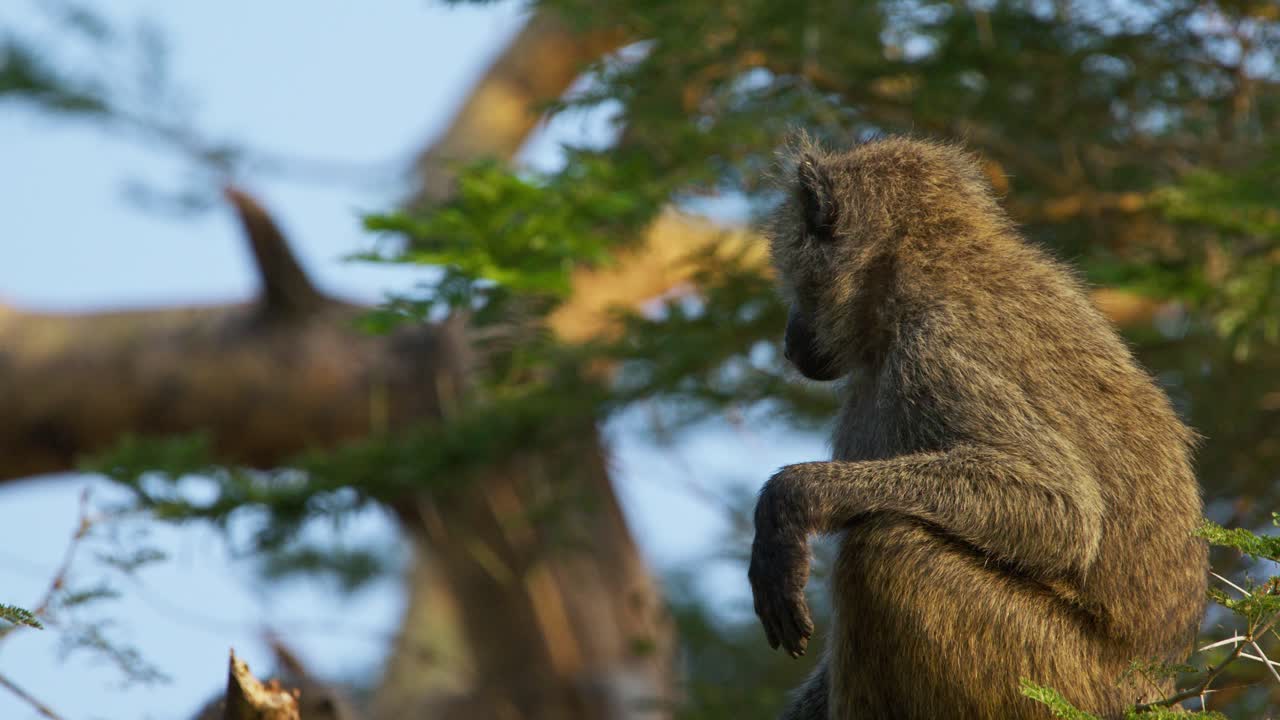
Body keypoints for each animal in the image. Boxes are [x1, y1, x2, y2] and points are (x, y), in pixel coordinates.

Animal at [747, 136, 1208, 719]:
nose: (787, 340)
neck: (922, 264)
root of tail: (1154, 682)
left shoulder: (939, 348)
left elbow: (1062, 509)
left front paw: (790, 500)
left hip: (1056, 679)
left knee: (887, 548)